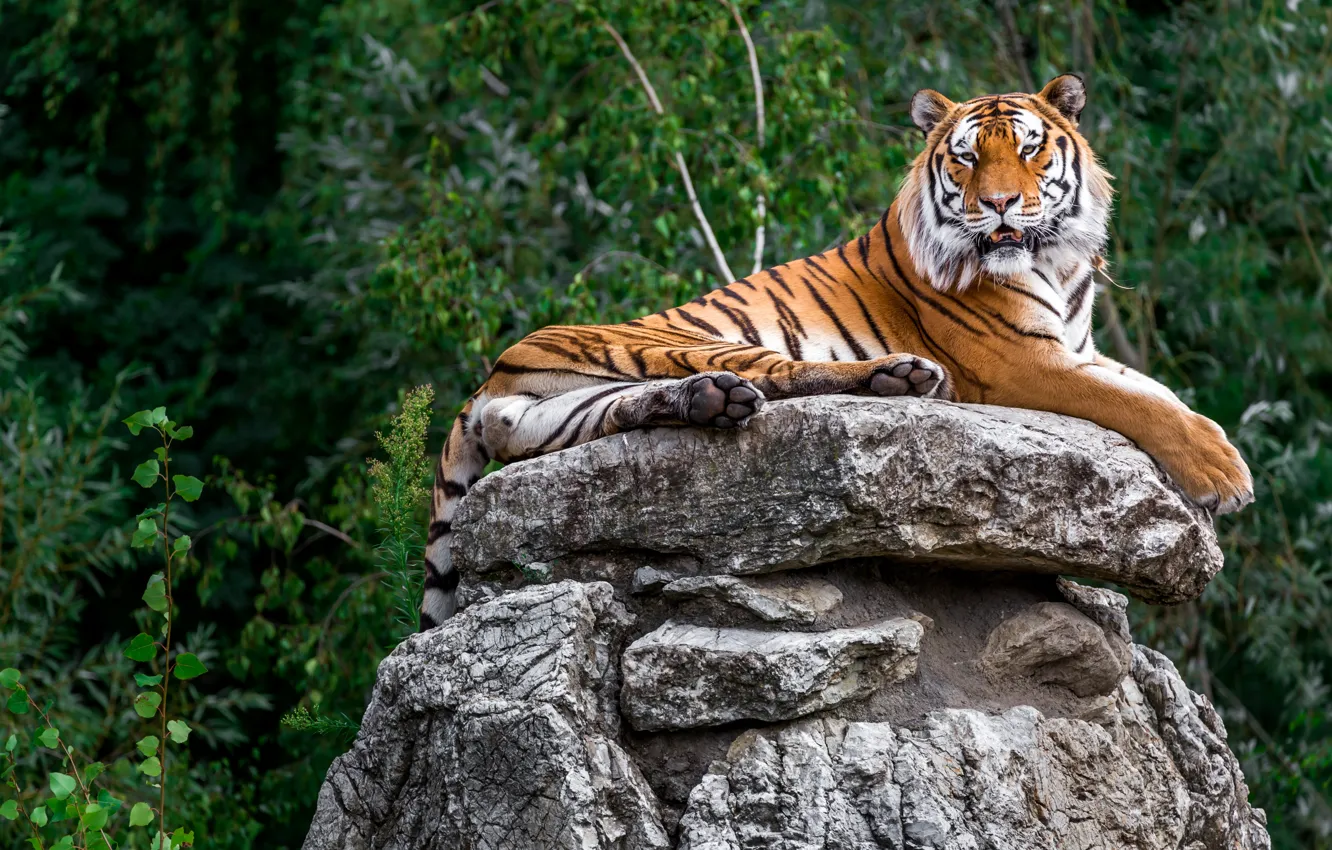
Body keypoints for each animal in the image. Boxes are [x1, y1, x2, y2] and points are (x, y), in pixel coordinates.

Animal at [418, 74, 1254, 630]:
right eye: (965, 159)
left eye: (1027, 148)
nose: (999, 205)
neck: (1056, 260)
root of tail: (494, 372)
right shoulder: (1023, 362)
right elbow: (1135, 402)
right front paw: (1225, 474)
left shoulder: (1079, 346)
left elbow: (1157, 391)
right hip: (685, 340)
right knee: (793, 375)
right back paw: (899, 378)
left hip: (567, 411)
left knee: (639, 408)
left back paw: (712, 401)